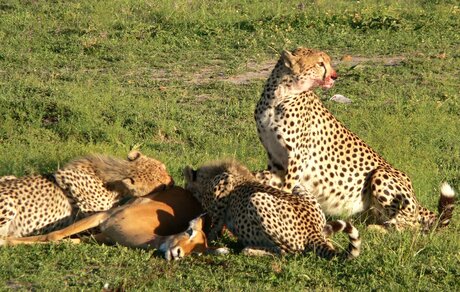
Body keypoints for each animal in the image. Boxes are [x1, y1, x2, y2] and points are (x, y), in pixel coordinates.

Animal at [183, 161, 360, 258]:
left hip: (257, 199)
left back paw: (250, 249)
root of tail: (313, 231)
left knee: (288, 252)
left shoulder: (223, 185)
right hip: (299, 187)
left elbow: (214, 225)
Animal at [255, 47, 456, 230]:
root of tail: (415, 198)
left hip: (381, 174)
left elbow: (286, 190)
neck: (279, 95)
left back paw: (377, 230)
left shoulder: (297, 158)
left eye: (327, 62)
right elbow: (271, 185)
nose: (335, 76)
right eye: (320, 64)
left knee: (410, 227)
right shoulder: (275, 159)